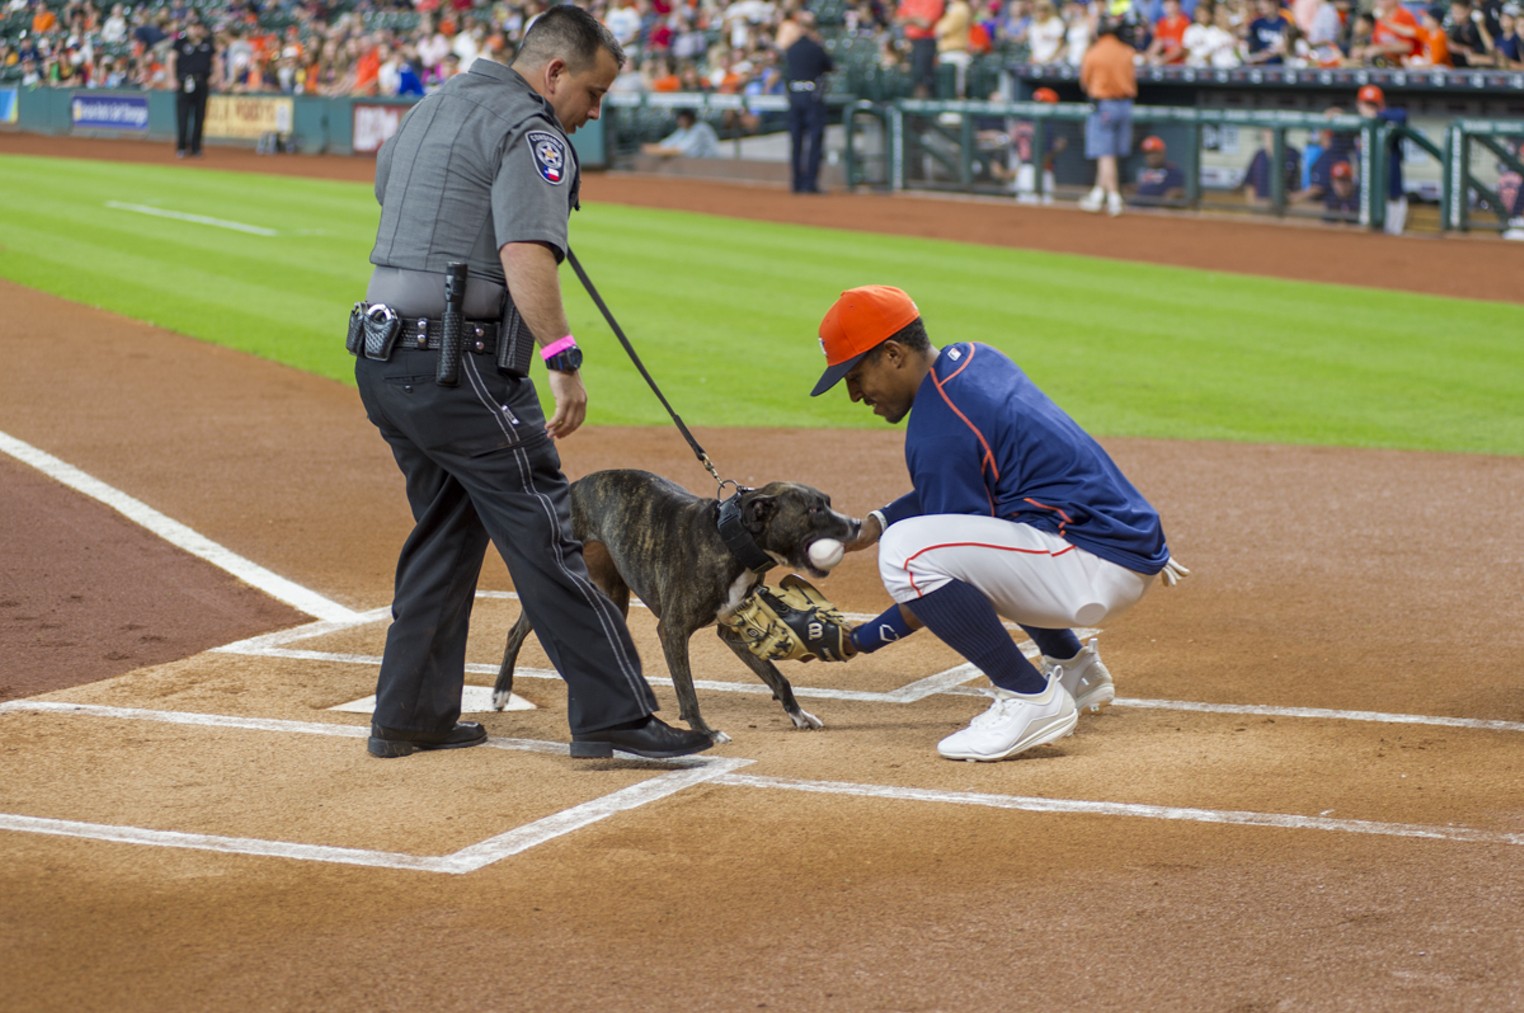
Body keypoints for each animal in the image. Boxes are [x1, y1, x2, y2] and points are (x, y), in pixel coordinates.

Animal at [496, 469, 865, 743]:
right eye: (813, 510)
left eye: (828, 502)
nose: (858, 524)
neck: (729, 539)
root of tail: (572, 487)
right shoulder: (672, 631)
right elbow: (687, 691)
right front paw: (705, 732)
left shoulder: (737, 631)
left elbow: (777, 678)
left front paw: (797, 714)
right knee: (515, 632)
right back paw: (501, 691)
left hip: (613, 596)